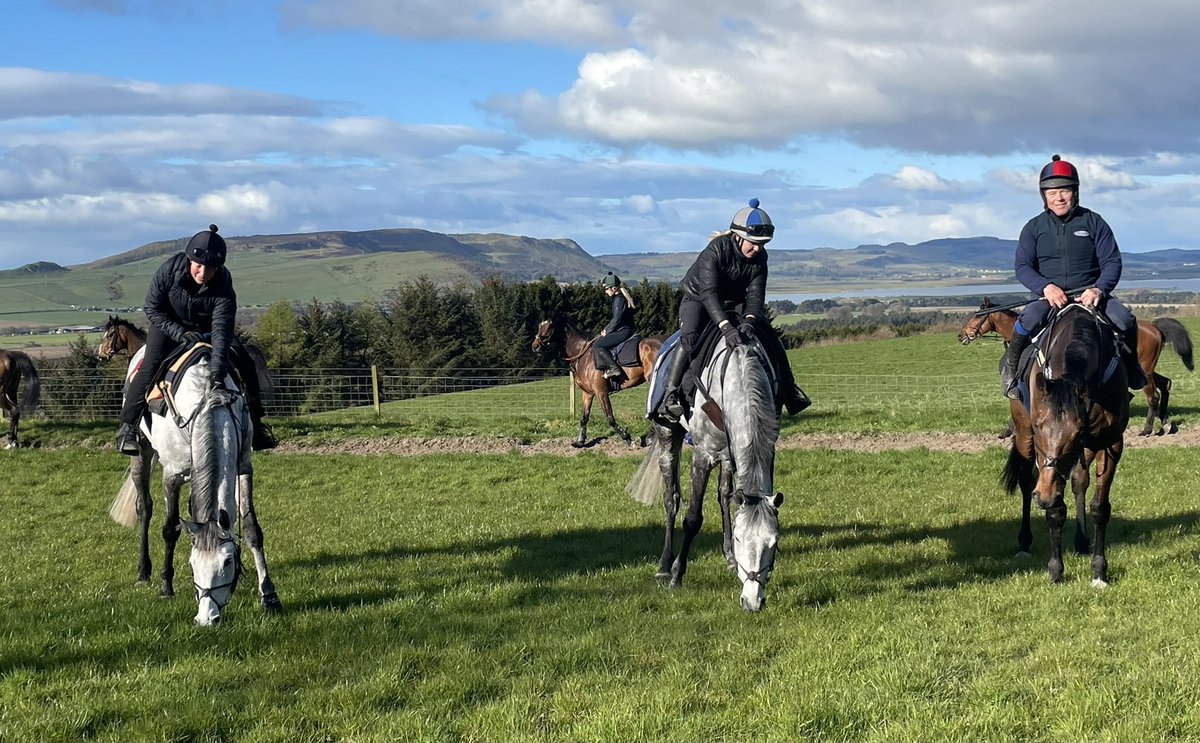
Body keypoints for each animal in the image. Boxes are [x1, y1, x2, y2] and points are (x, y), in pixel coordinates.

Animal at [535, 312, 667, 446]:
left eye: (549, 326)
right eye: (539, 326)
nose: (534, 346)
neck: (583, 355)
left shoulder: (601, 392)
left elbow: (609, 418)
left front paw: (626, 437)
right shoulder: (587, 393)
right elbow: (584, 417)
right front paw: (580, 442)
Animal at [624, 333, 782, 614]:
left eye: (773, 543)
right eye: (741, 539)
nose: (753, 602)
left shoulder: (758, 450)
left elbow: (729, 499)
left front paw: (732, 557)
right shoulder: (703, 456)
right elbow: (692, 519)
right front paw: (677, 575)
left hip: (727, 456)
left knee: (725, 496)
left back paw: (728, 556)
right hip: (668, 435)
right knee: (671, 499)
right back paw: (664, 566)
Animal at [960, 296, 1195, 436]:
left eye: (975, 317)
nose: (961, 335)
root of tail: (1155, 327)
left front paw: (1009, 430)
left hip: (1146, 371)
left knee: (1153, 396)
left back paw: (1147, 429)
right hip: (1147, 371)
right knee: (1166, 384)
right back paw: (1166, 422)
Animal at [998, 304, 1128, 583]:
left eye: (1077, 433)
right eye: (1039, 426)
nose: (1043, 495)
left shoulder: (1110, 442)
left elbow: (1100, 508)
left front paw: (1099, 570)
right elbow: (1055, 511)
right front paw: (1056, 570)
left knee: (1079, 482)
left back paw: (1081, 542)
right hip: (1023, 435)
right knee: (1026, 482)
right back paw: (1024, 543)